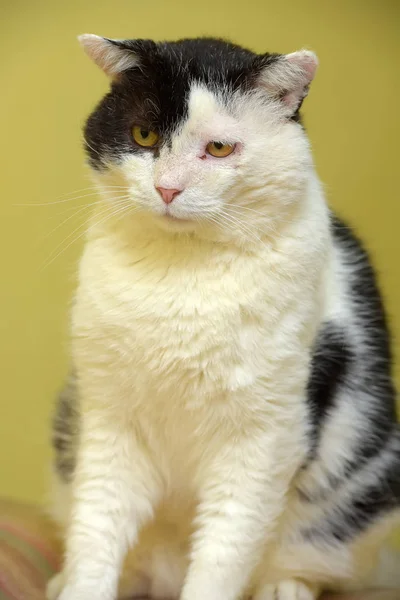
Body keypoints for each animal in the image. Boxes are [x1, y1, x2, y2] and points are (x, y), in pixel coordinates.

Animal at [47, 35, 400, 600]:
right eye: (144, 134)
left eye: (218, 149)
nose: (167, 188)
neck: (182, 275)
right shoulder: (110, 423)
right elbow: (97, 530)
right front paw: (80, 586)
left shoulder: (261, 439)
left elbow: (224, 550)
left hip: (358, 486)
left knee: (314, 558)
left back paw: (285, 587)